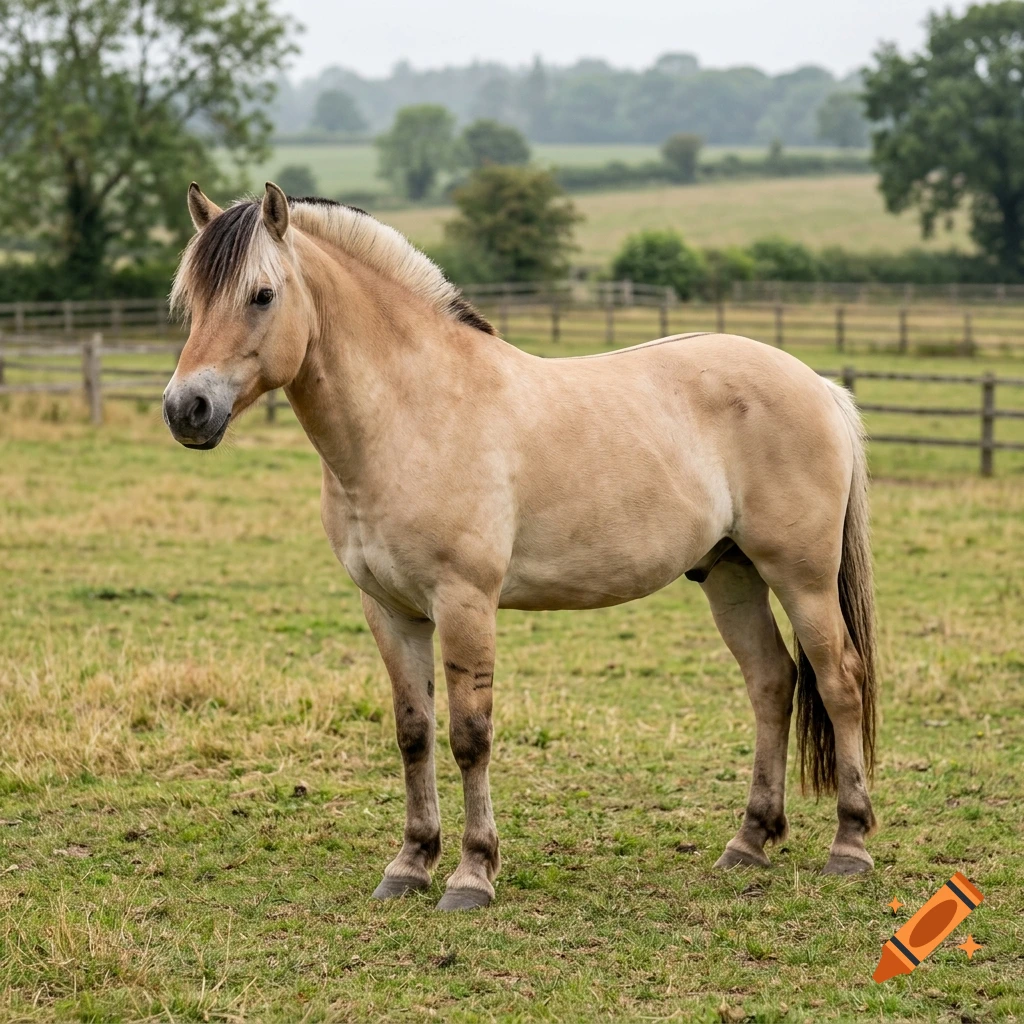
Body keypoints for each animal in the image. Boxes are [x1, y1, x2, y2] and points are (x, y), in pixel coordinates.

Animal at [163, 181, 878, 911]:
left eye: (262, 295)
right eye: (189, 299)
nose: (186, 409)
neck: (412, 412)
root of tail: (820, 386)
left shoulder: (465, 603)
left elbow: (469, 737)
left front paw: (472, 874)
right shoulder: (389, 610)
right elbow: (413, 733)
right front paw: (409, 864)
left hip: (802, 578)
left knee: (839, 681)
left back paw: (849, 845)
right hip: (732, 575)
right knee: (772, 682)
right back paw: (748, 842)